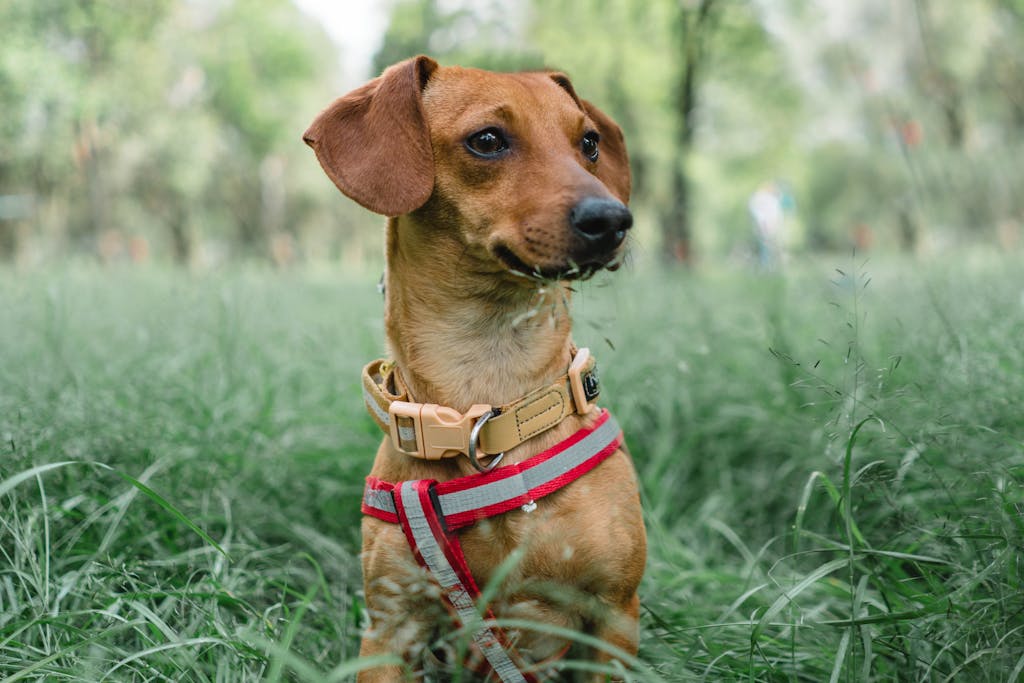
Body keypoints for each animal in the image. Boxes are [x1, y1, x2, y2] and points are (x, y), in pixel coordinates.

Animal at [299, 56, 647, 679]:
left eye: (587, 142)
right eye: (487, 140)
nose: (613, 219)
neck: (488, 396)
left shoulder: (615, 615)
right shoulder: (391, 626)